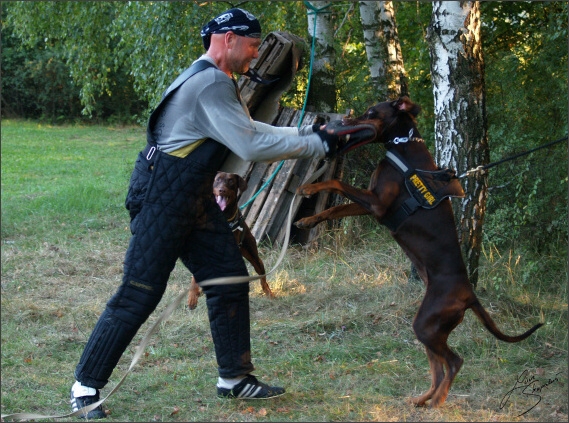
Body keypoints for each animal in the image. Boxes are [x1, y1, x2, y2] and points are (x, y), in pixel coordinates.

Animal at [187, 171, 274, 310]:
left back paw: (268, 292)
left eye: (231, 181)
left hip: (252, 254)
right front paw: (193, 296)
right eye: (217, 180)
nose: (222, 190)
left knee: (261, 274)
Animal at [292, 97, 540, 410]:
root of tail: (470, 295)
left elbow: (336, 184)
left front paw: (308, 186)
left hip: (426, 324)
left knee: (454, 361)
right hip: (432, 330)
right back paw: (424, 398)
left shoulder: (377, 203)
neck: (403, 145)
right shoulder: (371, 205)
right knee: (438, 368)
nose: (343, 121)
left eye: (370, 113)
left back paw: (438, 401)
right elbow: (334, 209)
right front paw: (306, 221)